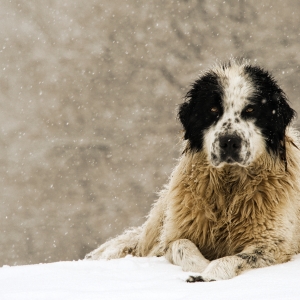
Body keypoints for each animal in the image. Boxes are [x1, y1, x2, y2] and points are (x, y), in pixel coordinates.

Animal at [85, 59, 300, 282]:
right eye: (213, 110)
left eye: (250, 110)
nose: (229, 141)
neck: (229, 186)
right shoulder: (173, 237)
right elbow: (181, 245)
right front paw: (200, 267)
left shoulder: (272, 245)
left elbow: (234, 258)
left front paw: (209, 274)